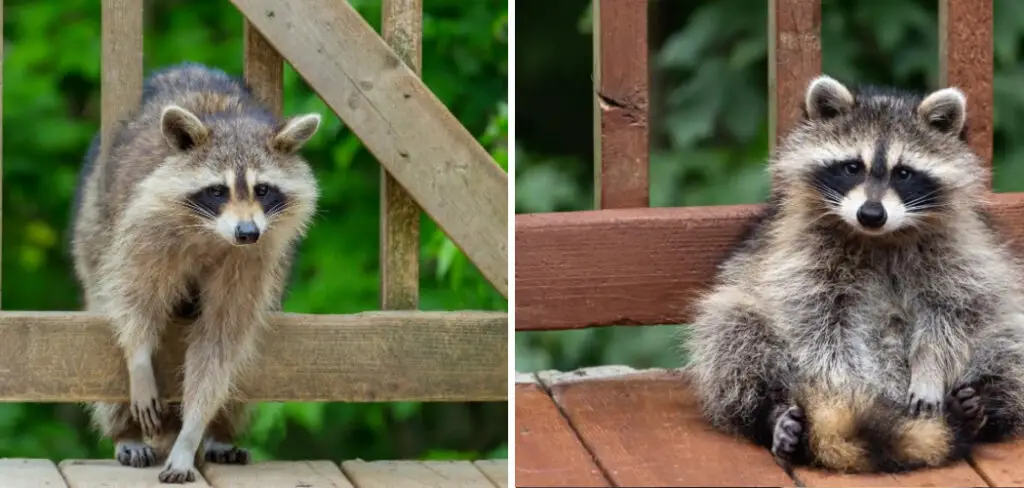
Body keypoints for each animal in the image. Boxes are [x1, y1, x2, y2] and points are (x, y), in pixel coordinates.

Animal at [71, 61, 319, 482]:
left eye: (263, 190)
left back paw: (219, 433)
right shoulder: (145, 227)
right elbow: (134, 298)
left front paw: (192, 432)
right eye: (218, 191)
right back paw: (125, 433)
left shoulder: (254, 259)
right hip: (92, 225)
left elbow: (220, 342)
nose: (247, 232)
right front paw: (139, 359)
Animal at [679, 75, 1024, 472]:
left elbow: (955, 313)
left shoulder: (960, 251)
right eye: (852, 167)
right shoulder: (801, 256)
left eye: (903, 173)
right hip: (744, 318)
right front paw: (841, 394)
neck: (879, 237)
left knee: (1009, 341)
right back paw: (772, 416)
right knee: (732, 330)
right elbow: (819, 328)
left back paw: (983, 408)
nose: (871, 214)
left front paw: (930, 368)